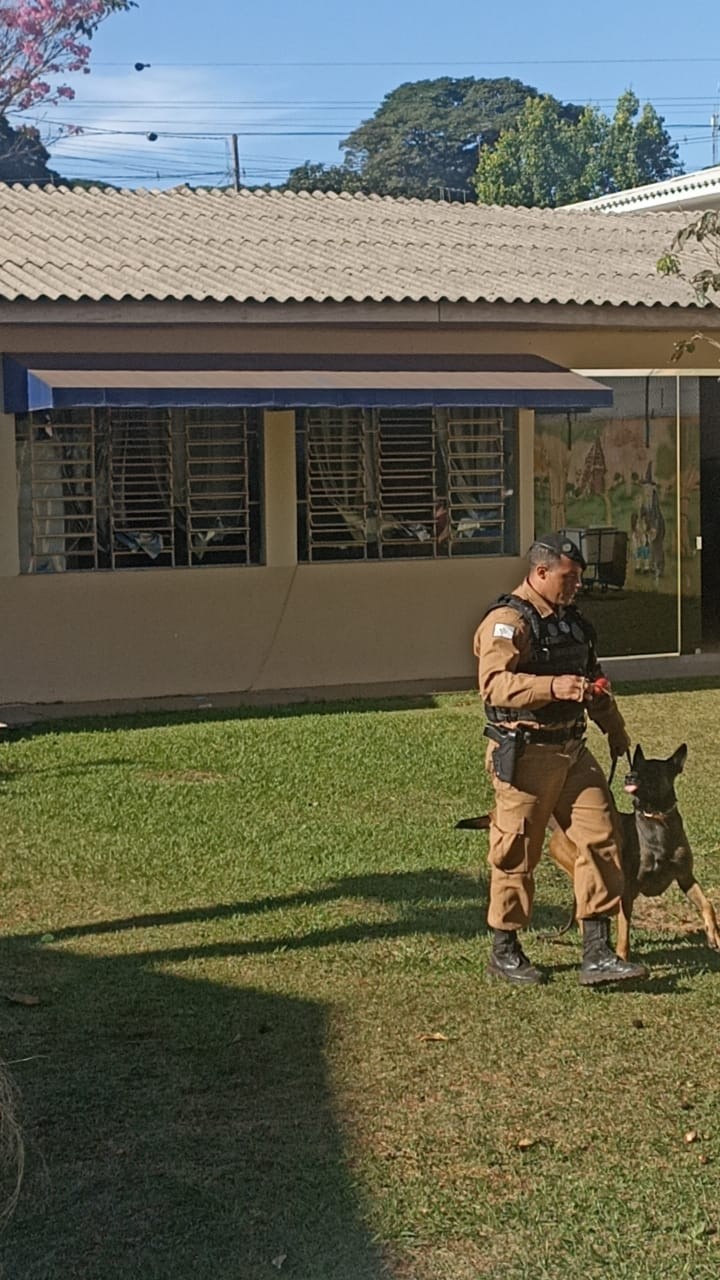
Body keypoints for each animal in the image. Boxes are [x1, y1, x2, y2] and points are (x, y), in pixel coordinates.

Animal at [458, 743, 720, 959]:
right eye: (635, 767)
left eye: (652, 771)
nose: (629, 776)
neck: (656, 821)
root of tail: (559, 826)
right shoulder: (628, 891)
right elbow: (624, 930)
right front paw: (622, 957)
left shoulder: (685, 877)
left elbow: (707, 903)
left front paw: (714, 935)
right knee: (583, 912)